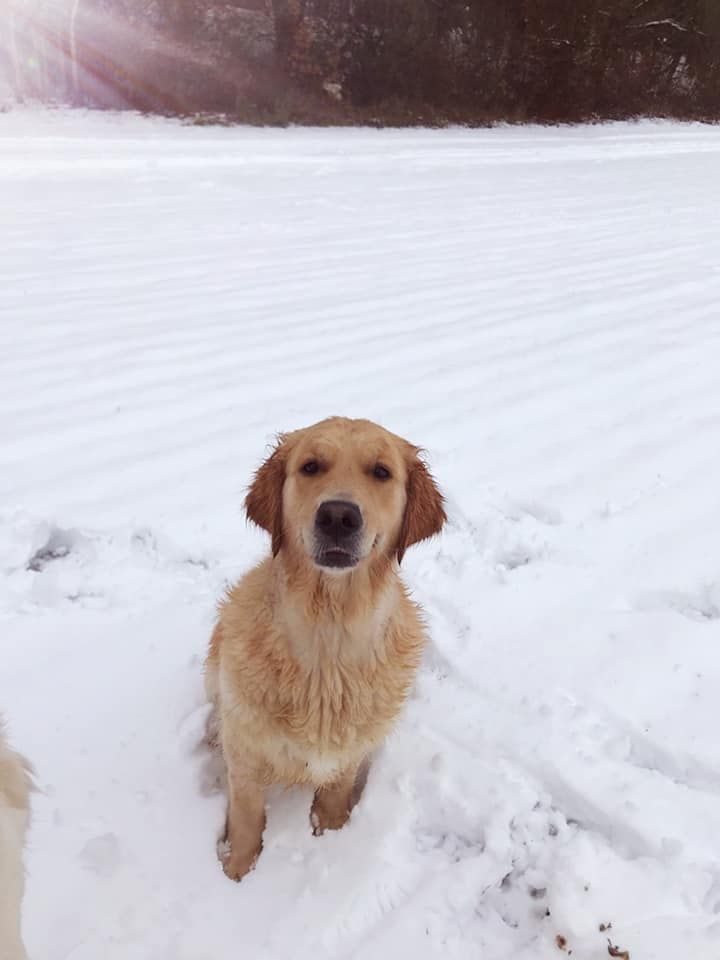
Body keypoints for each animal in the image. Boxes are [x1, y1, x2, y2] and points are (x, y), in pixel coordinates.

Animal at [205, 416, 444, 880]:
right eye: (311, 467)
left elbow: (336, 788)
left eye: (381, 472)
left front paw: (330, 830)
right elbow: (246, 812)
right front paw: (238, 867)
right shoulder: (245, 751)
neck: (329, 635)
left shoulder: (353, 745)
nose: (338, 516)